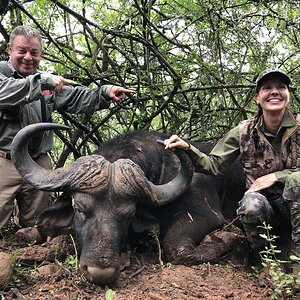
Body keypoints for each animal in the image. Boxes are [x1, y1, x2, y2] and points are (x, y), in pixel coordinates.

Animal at [11, 123, 246, 284]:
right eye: (79, 209)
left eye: (128, 214)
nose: (100, 272)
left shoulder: (206, 215)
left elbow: (176, 247)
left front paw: (228, 237)